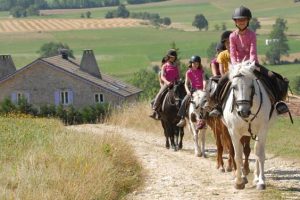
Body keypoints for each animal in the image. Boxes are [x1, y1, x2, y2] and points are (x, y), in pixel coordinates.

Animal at [224, 60, 278, 190]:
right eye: (234, 87)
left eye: (252, 87)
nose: (243, 111)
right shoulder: (233, 132)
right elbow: (238, 155)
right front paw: (239, 182)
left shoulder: (262, 130)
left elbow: (259, 154)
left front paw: (261, 182)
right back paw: (244, 177)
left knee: (257, 151)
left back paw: (257, 178)